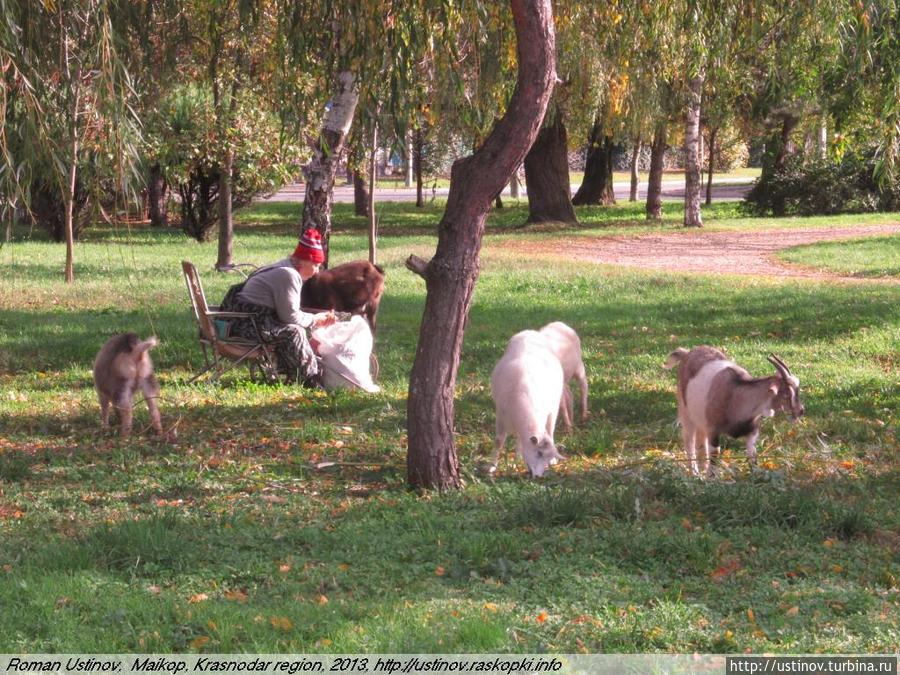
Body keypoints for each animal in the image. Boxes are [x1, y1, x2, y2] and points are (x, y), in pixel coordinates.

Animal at [492, 330, 564, 478]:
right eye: (539, 453)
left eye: (546, 457)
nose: (538, 476)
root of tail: (530, 331)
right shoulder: (500, 416)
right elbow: (499, 441)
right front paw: (492, 466)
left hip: (554, 408)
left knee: (550, 430)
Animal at [664, 348, 804, 476]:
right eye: (786, 393)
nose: (801, 411)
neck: (736, 395)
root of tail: (686, 353)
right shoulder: (713, 430)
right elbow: (715, 455)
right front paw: (711, 478)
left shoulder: (752, 432)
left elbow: (752, 456)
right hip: (686, 413)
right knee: (690, 443)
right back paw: (695, 473)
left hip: (701, 419)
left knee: (701, 441)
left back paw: (703, 469)